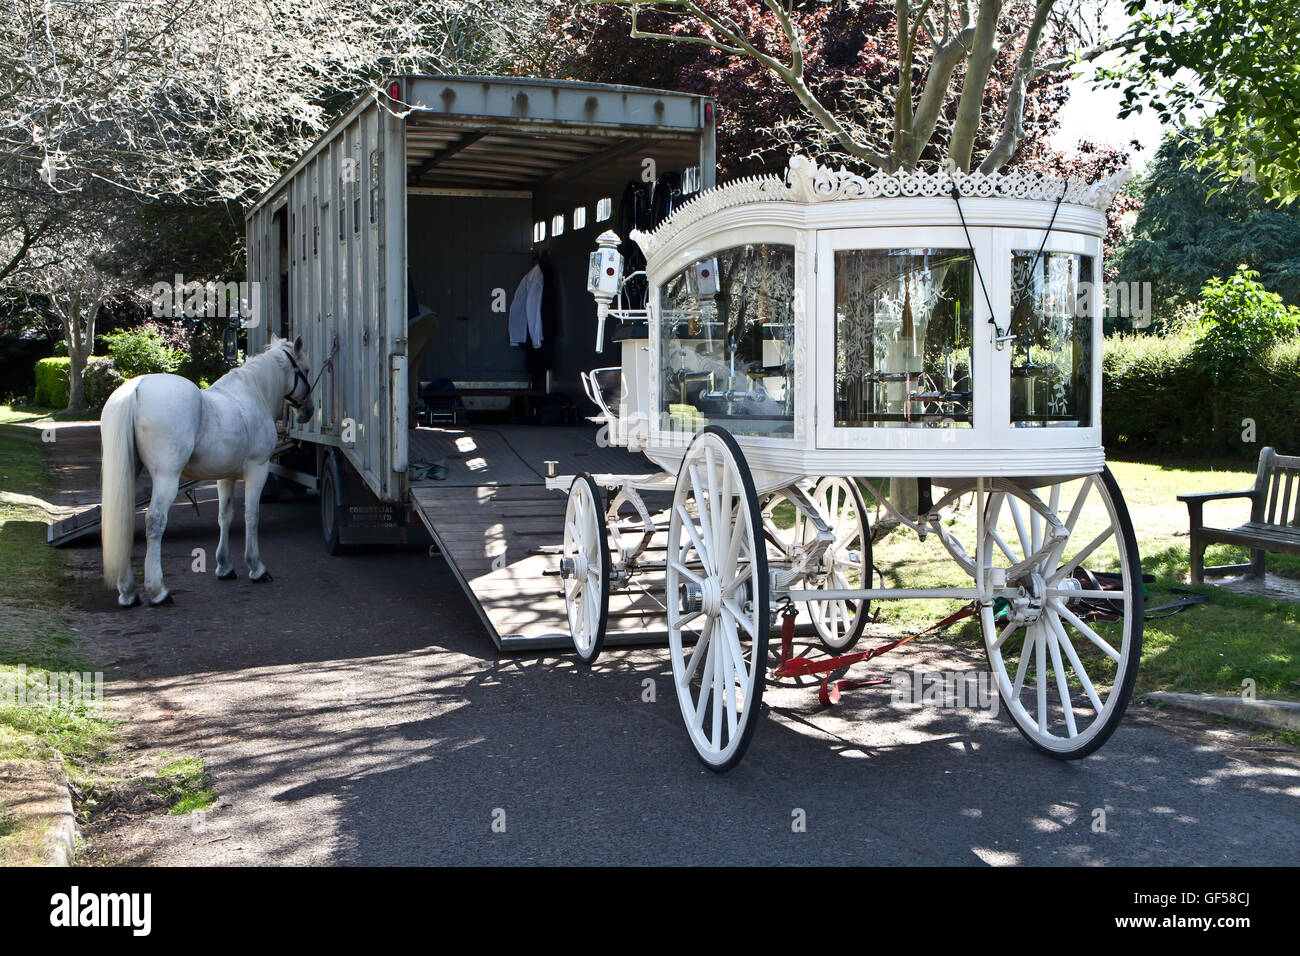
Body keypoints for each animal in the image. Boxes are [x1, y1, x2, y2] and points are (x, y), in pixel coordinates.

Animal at [98, 335, 314, 606]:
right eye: (305, 370)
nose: (308, 412)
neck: (253, 393)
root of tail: (136, 388)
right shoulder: (258, 469)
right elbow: (252, 516)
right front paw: (257, 568)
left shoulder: (226, 477)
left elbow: (225, 516)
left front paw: (224, 567)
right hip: (167, 479)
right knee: (155, 522)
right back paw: (158, 591)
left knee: (124, 521)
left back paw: (128, 592)